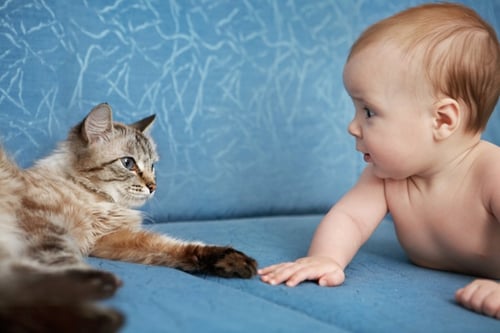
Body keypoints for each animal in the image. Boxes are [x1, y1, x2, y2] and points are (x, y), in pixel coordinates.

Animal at [0, 102, 258, 330]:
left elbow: (172, 247)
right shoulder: (45, 228)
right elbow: (65, 262)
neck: (99, 199)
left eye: (153, 166)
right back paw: (100, 305)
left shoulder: (109, 240)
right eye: (128, 163)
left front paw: (233, 262)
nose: (153, 186)